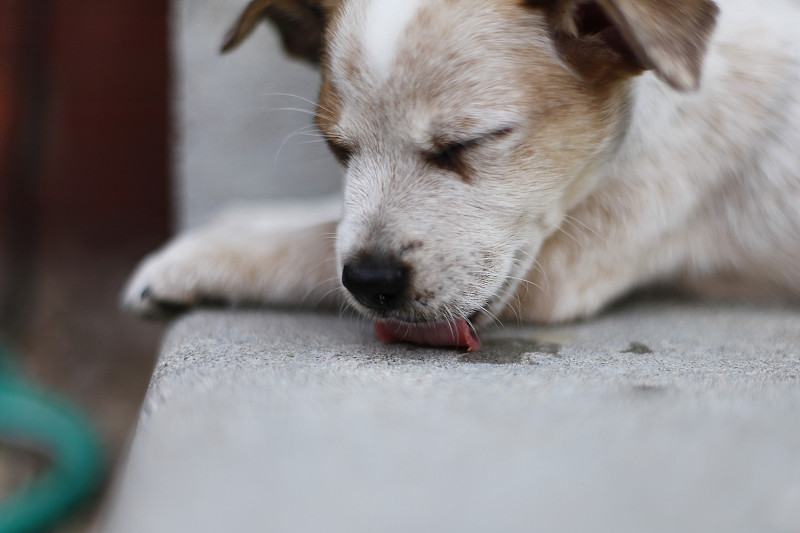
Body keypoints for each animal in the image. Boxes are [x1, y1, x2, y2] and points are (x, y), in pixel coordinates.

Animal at [120, 0, 800, 352]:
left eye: (468, 142)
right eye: (338, 149)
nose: (370, 281)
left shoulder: (566, 269)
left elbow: (307, 247)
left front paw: (191, 259)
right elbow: (323, 224)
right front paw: (245, 219)